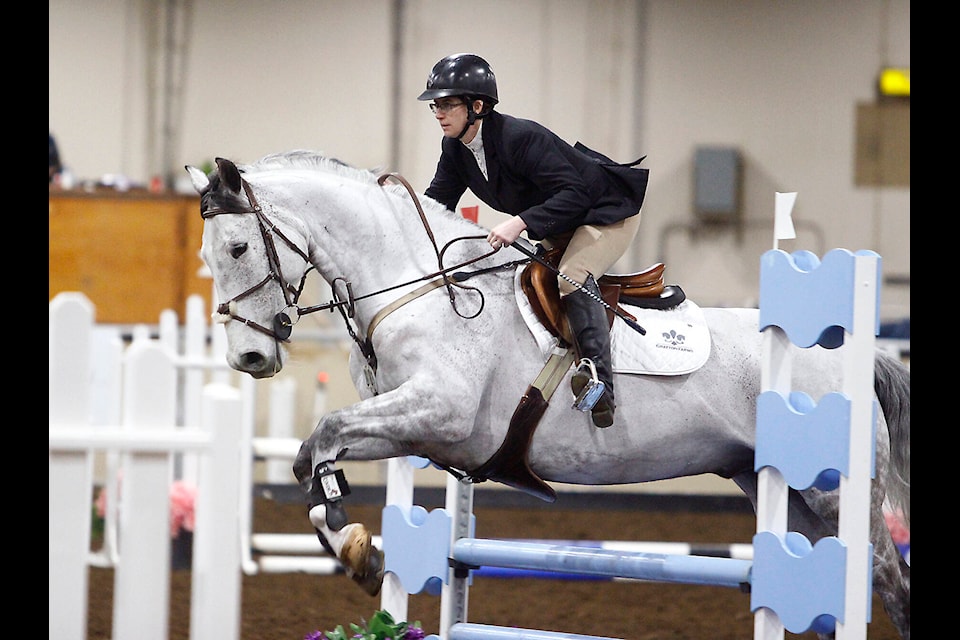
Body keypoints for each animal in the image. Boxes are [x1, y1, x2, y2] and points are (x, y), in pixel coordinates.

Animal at [186, 152, 908, 636]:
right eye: (209, 255)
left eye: (239, 246)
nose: (249, 357)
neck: (416, 284)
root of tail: (853, 355)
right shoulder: (411, 427)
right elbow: (315, 456)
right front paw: (351, 545)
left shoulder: (440, 414)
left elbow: (327, 433)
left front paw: (353, 545)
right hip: (774, 486)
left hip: (834, 491)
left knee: (885, 578)